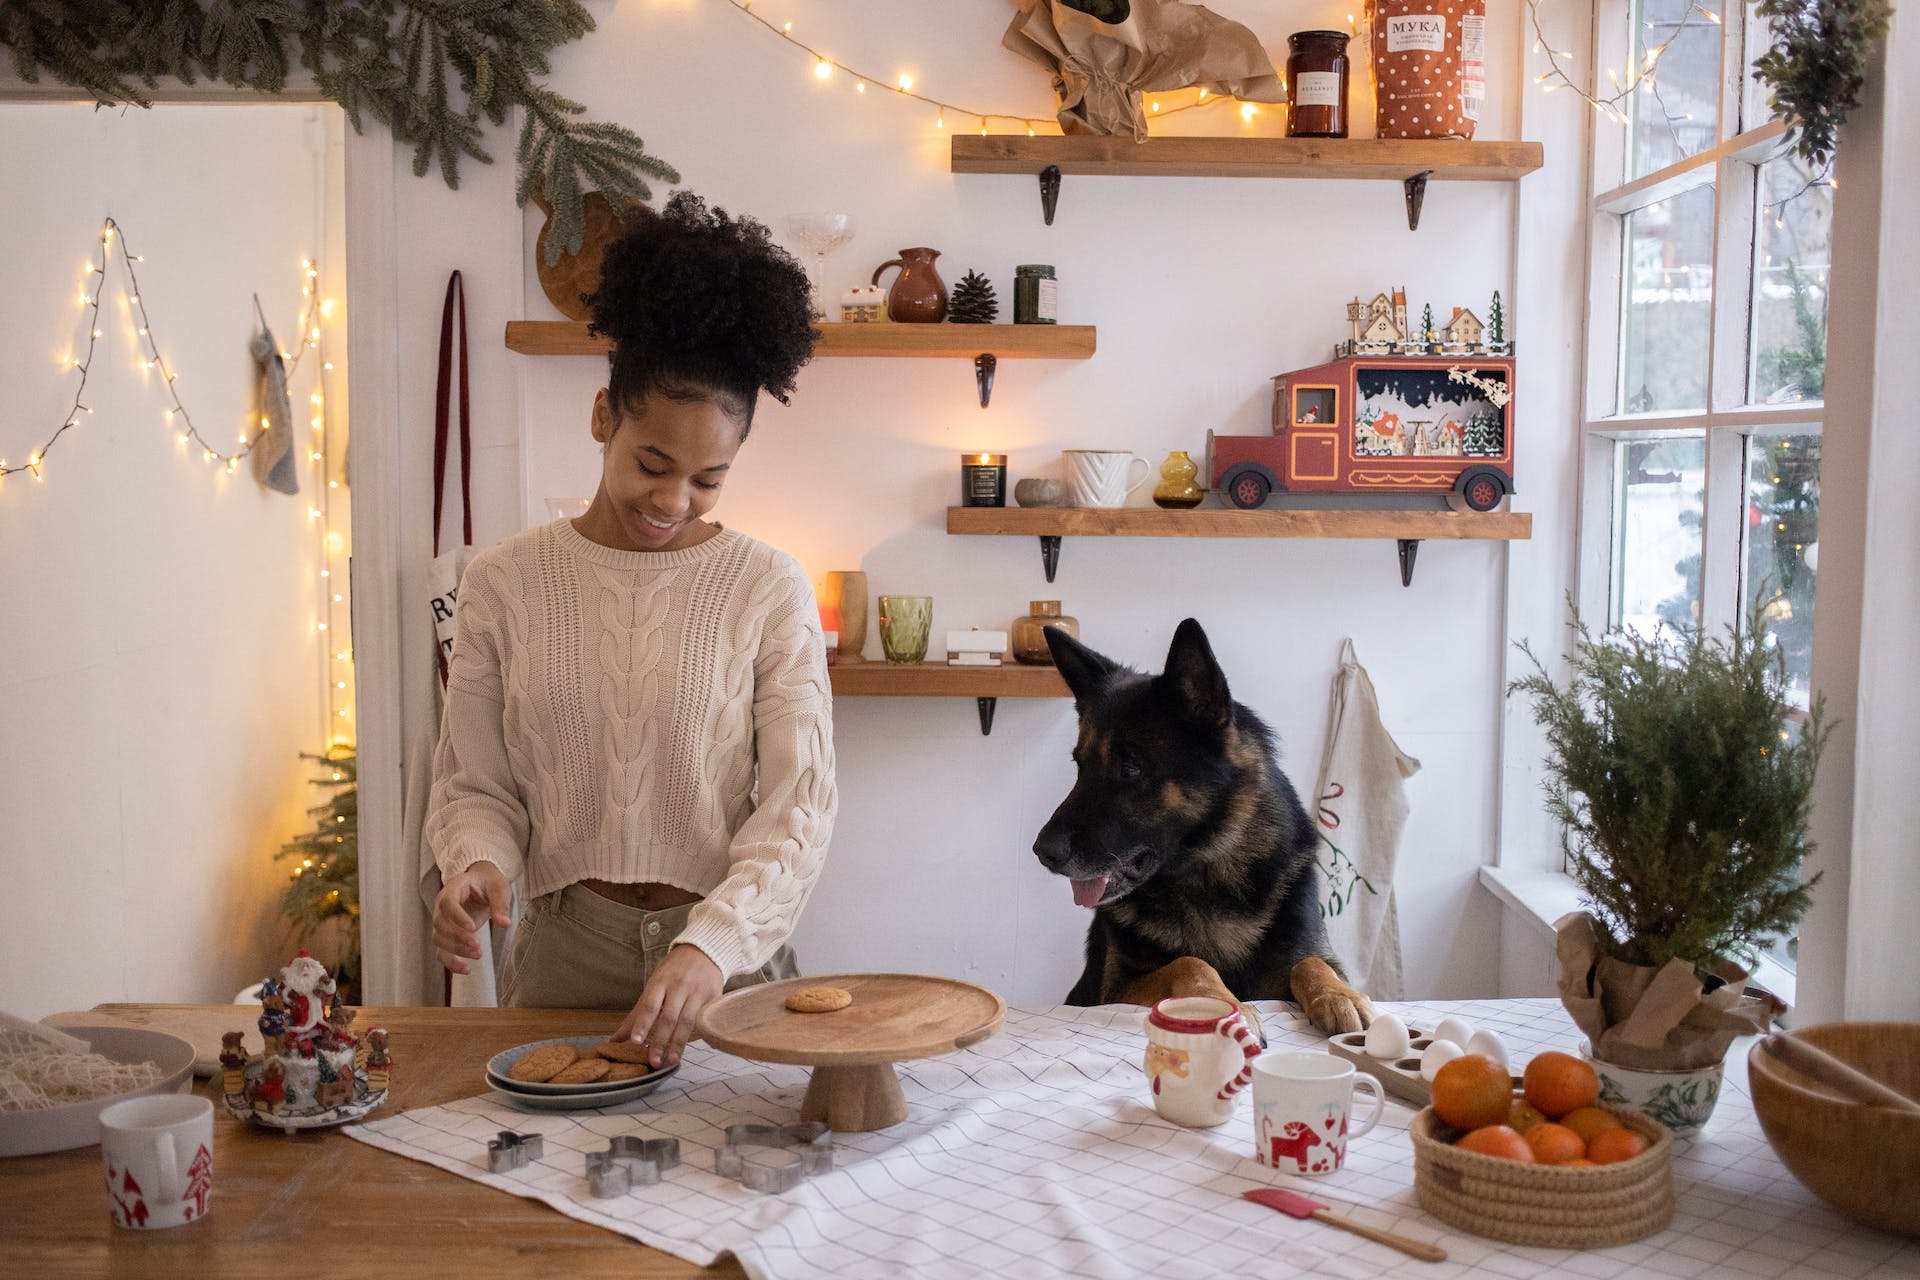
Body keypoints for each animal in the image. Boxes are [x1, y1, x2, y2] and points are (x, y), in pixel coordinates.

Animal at [1036, 621, 1382, 1043]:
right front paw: (1224, 1006)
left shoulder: (1306, 957)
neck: (1211, 873)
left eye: (1130, 768)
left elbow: (1312, 962)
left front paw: (1338, 995)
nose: (1042, 851)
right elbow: (1190, 962)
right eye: (1079, 767)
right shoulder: (1113, 989)